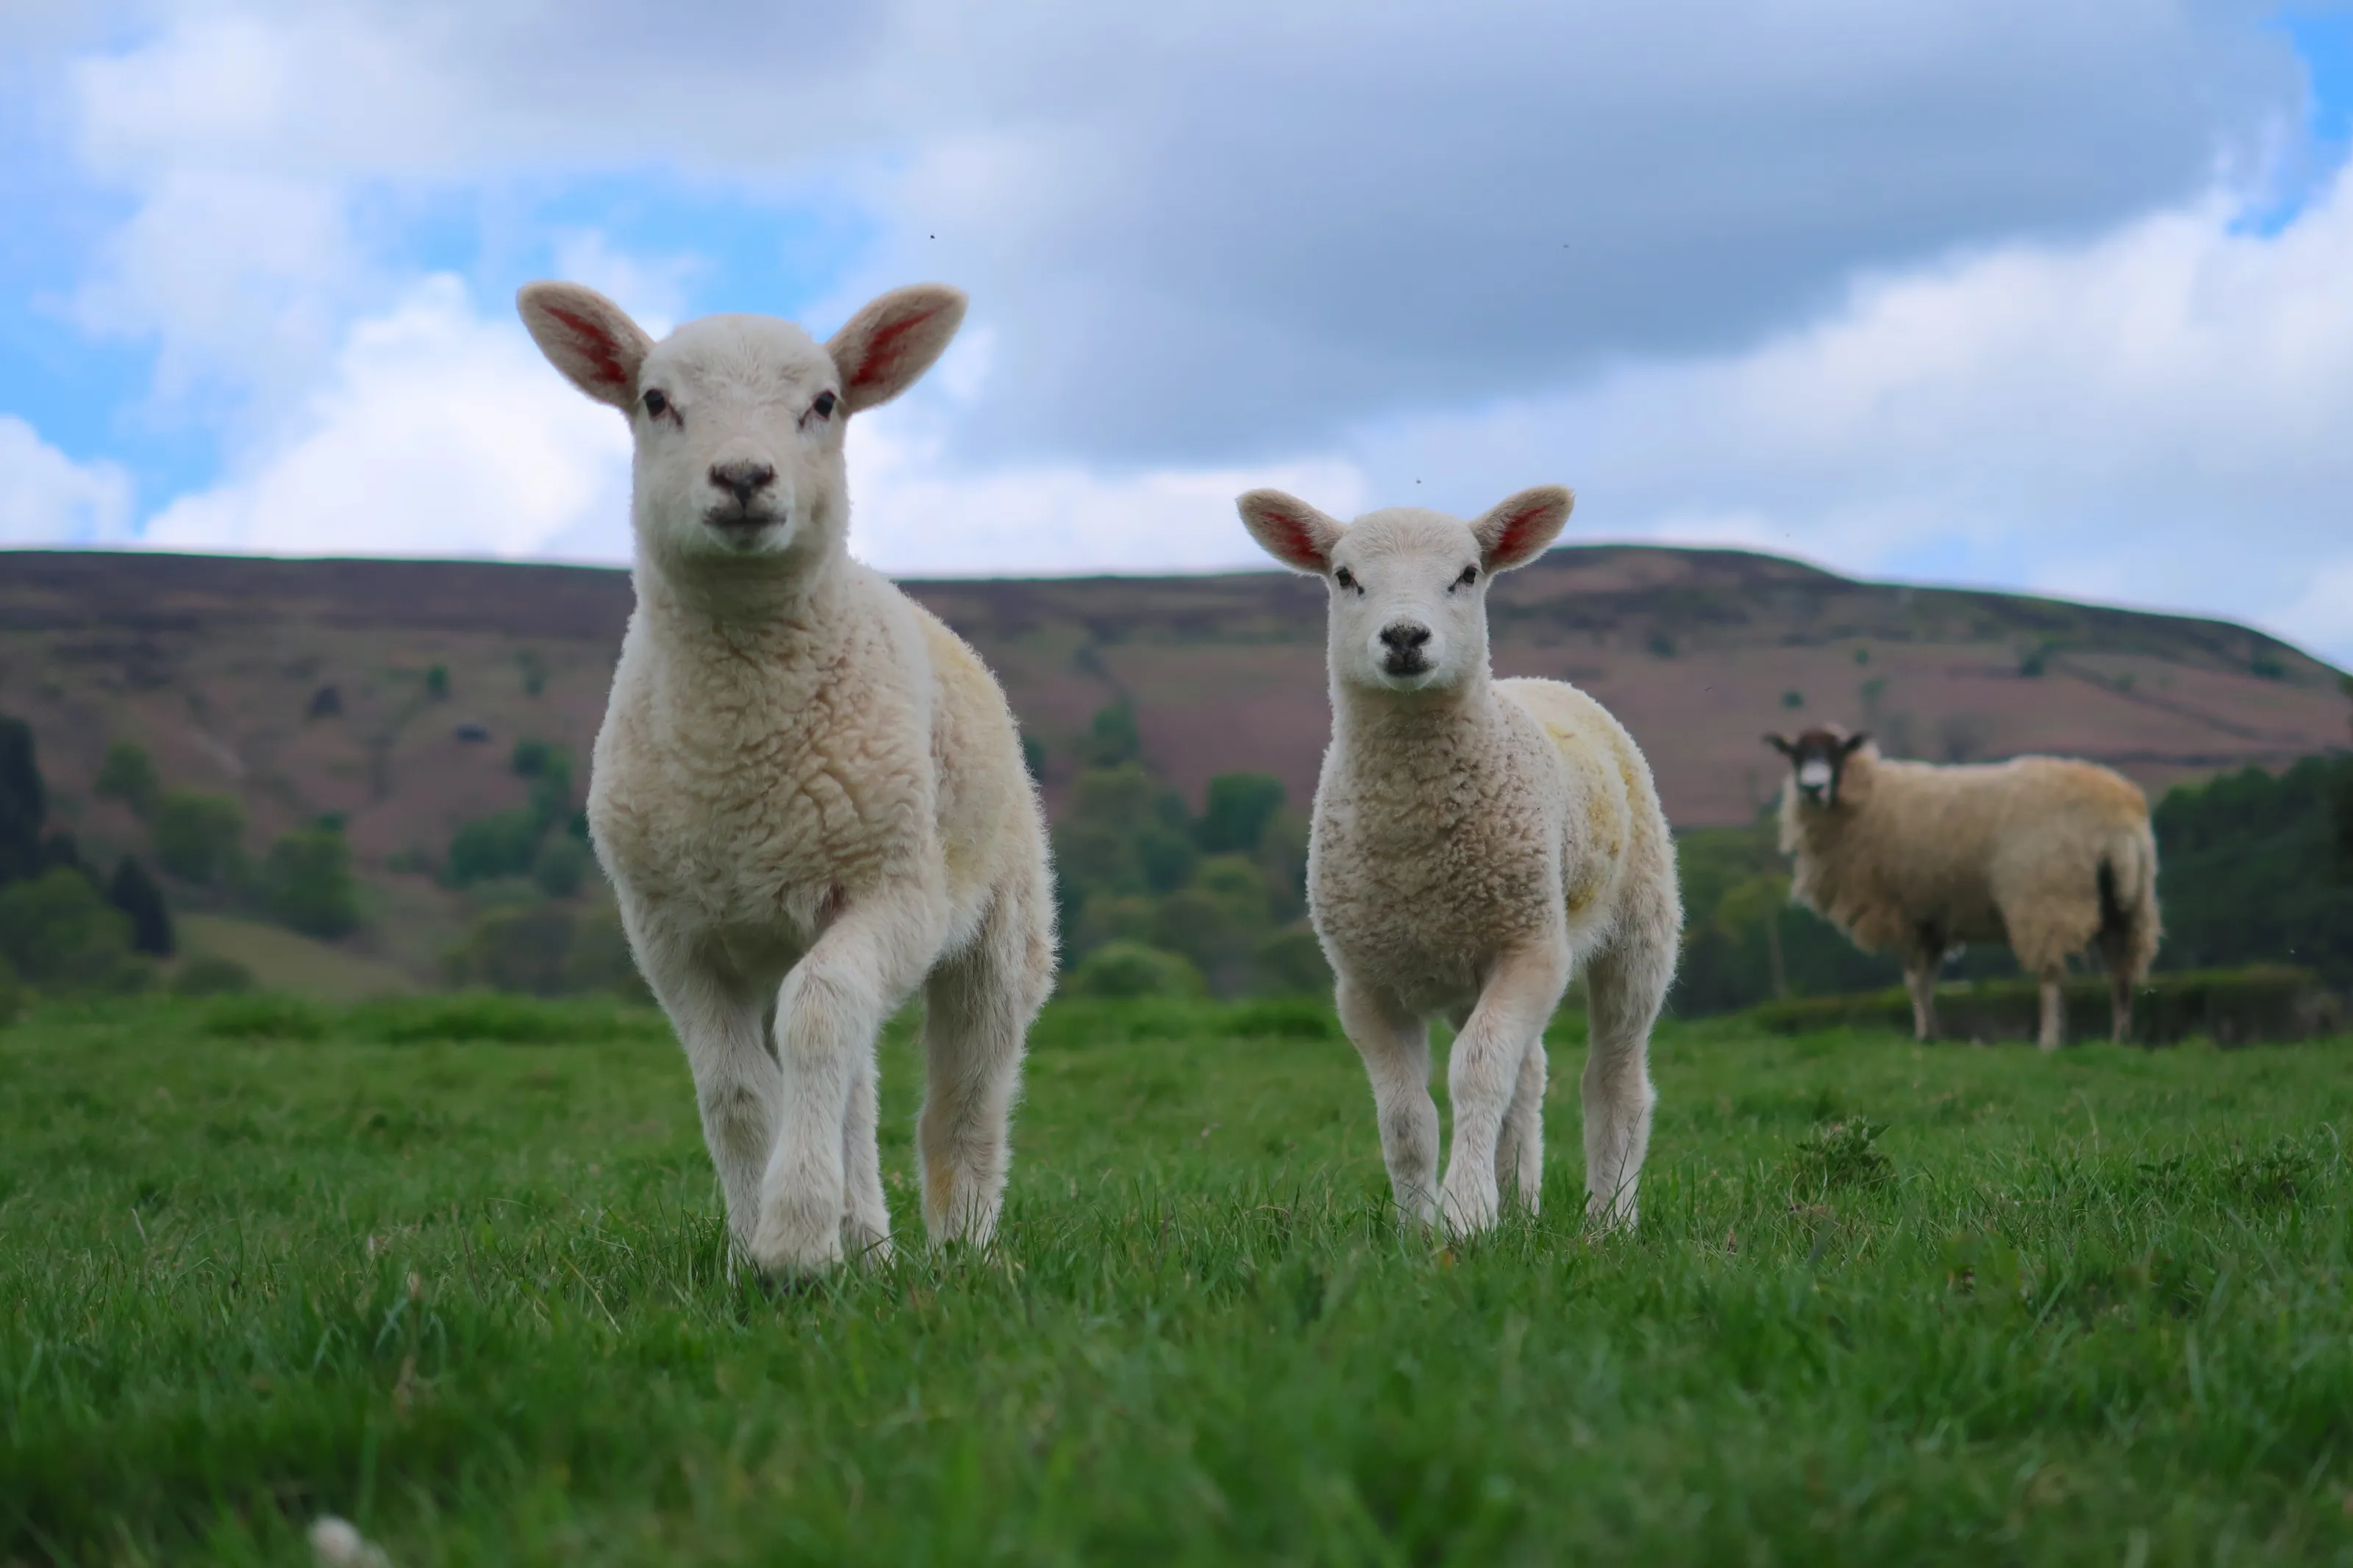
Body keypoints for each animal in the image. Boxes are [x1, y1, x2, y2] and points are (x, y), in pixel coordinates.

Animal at [518, 279, 1056, 1276]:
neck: (740, 757)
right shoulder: (670, 933)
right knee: (852, 1082)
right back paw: (869, 1241)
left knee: (962, 1098)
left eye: (824, 403)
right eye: (655, 400)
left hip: (999, 920)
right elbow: (734, 1089)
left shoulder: (893, 890)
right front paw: (756, 1248)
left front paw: (798, 1236)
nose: (742, 478)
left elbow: (817, 1018)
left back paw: (960, 1245)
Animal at [1236, 485, 1682, 1235]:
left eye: (1468, 574)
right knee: (1528, 1077)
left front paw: (1466, 1214)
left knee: (1615, 1080)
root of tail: (1543, 682)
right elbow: (1405, 1115)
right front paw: (1418, 1229)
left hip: (1638, 925)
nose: (1405, 638)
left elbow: (1475, 1074)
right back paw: (1523, 1206)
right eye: (1345, 577)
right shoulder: (1365, 982)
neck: (1414, 841)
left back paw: (1608, 1221)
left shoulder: (1530, 947)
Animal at [1764, 728, 2161, 1049]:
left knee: (2051, 973)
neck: (1867, 799)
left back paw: (2049, 1041)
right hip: (2126, 901)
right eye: (1796, 754)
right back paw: (2120, 1039)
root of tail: (2119, 816)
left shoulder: (1905, 910)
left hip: (2046, 893)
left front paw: (1924, 1036)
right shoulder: (1932, 917)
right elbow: (1926, 979)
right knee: (2121, 970)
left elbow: (1914, 978)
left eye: (1836, 752)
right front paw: (1933, 1035)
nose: (1812, 788)